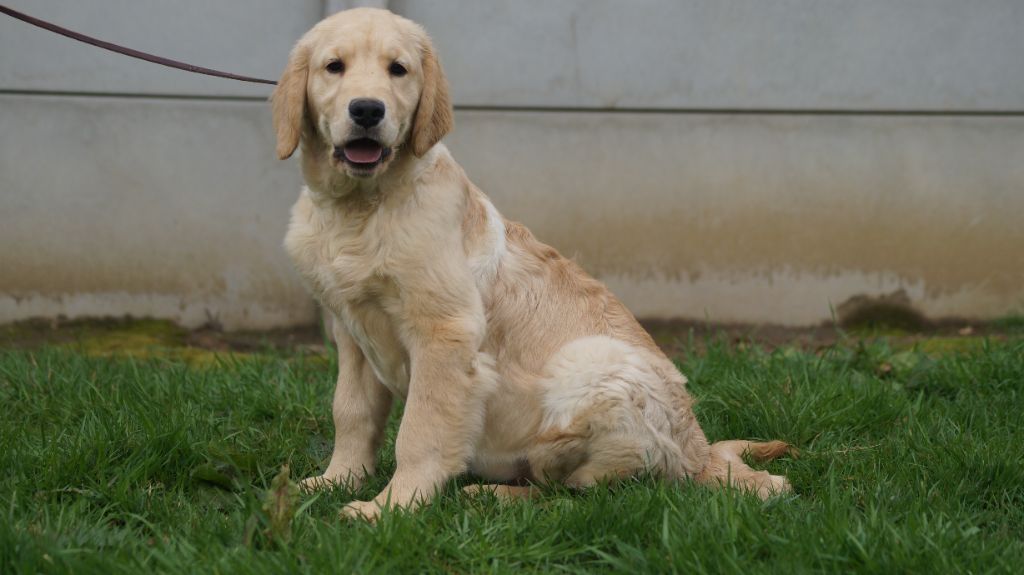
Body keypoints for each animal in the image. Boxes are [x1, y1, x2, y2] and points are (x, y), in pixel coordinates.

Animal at [274, 7, 790, 519]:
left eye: (397, 69)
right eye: (333, 67)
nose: (367, 110)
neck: (360, 209)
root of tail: (700, 454)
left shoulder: (445, 333)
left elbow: (420, 431)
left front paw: (391, 508)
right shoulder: (352, 331)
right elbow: (351, 412)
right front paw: (335, 481)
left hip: (591, 366)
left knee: (586, 489)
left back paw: (496, 493)